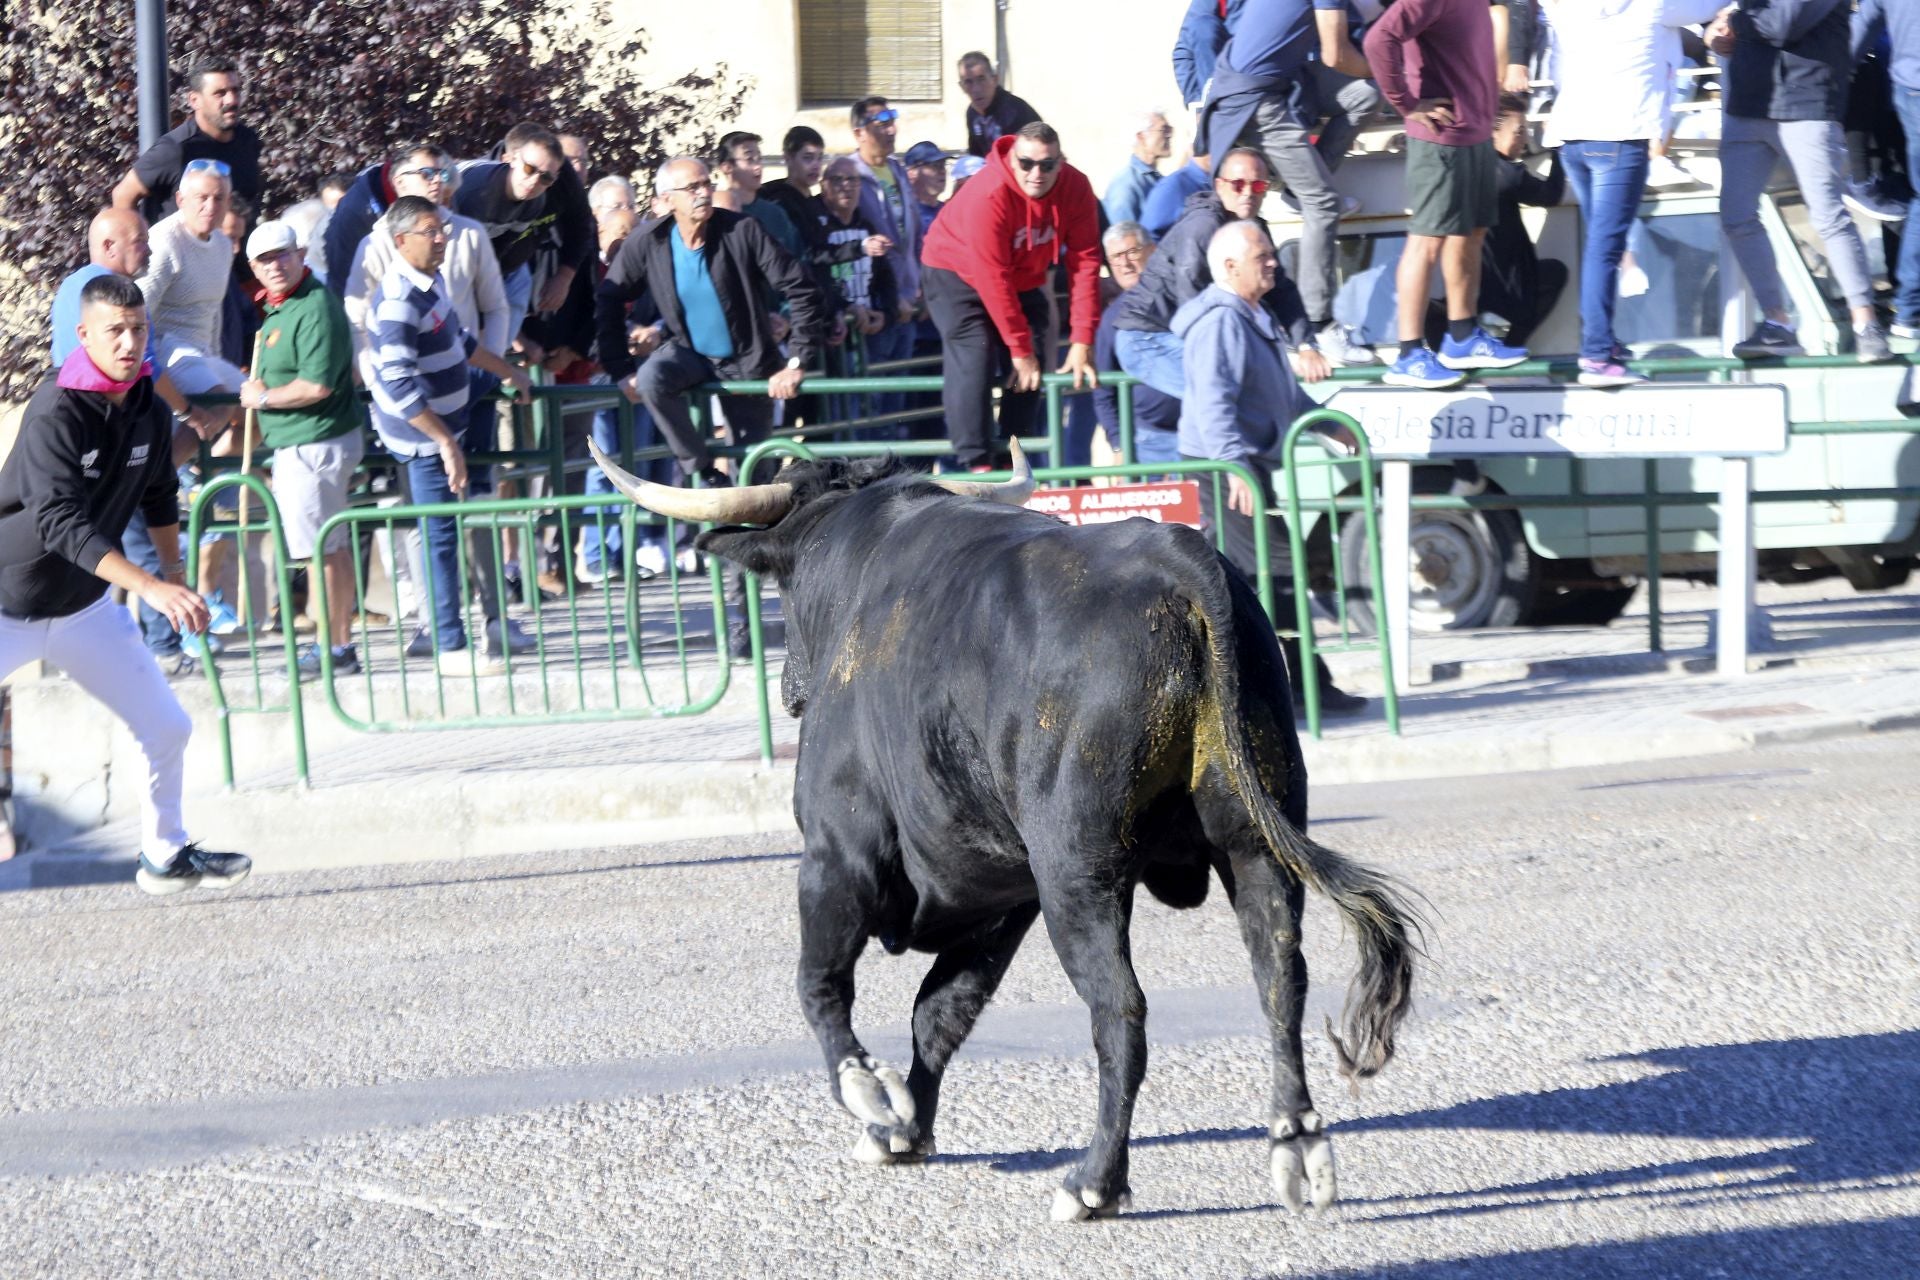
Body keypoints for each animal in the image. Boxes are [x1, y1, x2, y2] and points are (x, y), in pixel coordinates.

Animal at [599, 450, 1428, 1220]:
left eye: (782, 589)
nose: (788, 688)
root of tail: (1180, 562)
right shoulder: (1003, 894)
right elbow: (939, 1014)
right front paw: (905, 1127)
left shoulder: (838, 856)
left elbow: (821, 984)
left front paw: (871, 1095)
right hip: (1255, 849)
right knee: (1279, 982)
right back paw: (1297, 1146)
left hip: (1079, 876)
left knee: (1120, 1013)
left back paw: (1093, 1182)